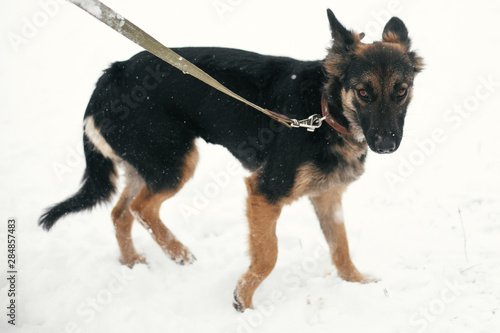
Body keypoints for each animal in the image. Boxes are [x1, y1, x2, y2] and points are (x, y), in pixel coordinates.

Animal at [38, 10, 422, 312]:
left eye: (401, 91)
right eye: (363, 93)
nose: (387, 145)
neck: (324, 111)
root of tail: (109, 77)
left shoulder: (327, 196)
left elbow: (340, 247)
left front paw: (357, 283)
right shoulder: (264, 192)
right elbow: (268, 255)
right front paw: (245, 303)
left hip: (148, 163)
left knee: (121, 212)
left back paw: (133, 262)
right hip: (175, 162)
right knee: (140, 208)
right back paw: (179, 253)